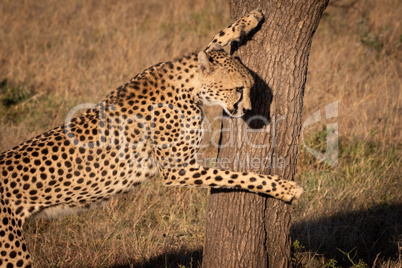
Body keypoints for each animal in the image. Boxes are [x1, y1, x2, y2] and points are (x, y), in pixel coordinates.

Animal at [0, 9, 302, 266]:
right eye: (238, 89)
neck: (188, 87)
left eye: (249, 88)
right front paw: (285, 188)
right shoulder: (177, 170)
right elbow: (237, 176)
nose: (249, 110)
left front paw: (248, 20)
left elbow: (210, 44)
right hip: (13, 253)